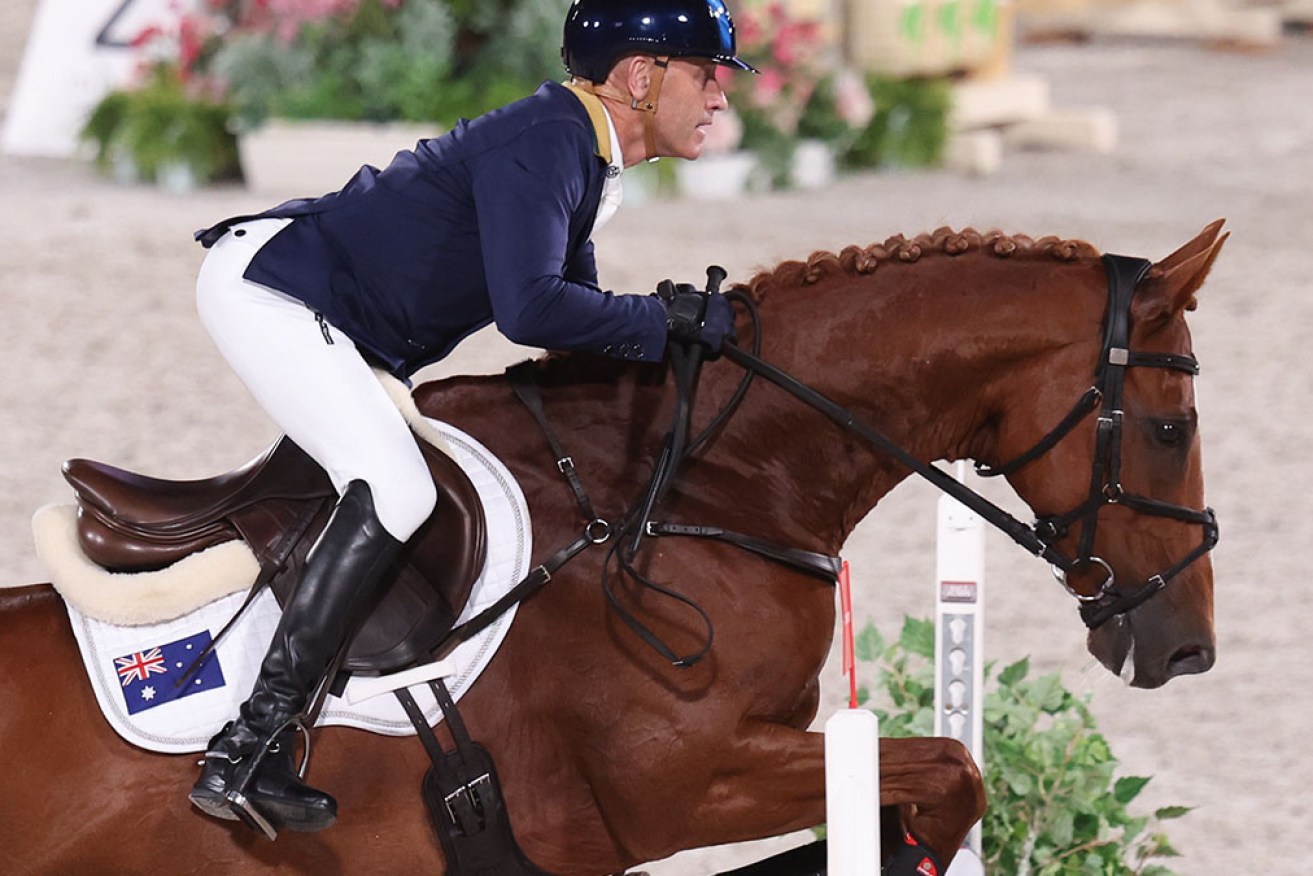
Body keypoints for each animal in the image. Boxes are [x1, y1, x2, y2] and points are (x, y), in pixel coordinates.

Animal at [5, 224, 1223, 876]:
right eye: (1171, 430)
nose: (1185, 649)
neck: (698, 487)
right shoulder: (680, 782)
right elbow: (947, 772)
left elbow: (931, 778)